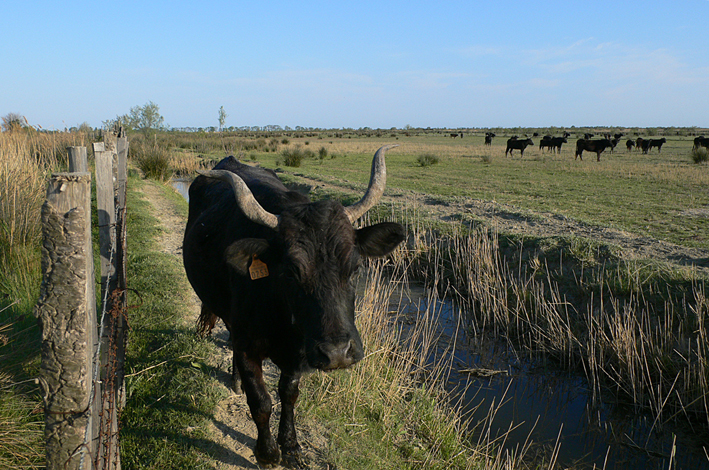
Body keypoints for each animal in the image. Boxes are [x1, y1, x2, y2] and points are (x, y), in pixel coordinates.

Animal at [183, 145, 404, 468]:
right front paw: (267, 453)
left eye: (356, 268)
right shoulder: (249, 347)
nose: (337, 354)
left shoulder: (300, 355)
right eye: (290, 272)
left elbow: (288, 394)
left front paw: (290, 446)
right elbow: (261, 401)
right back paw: (235, 379)